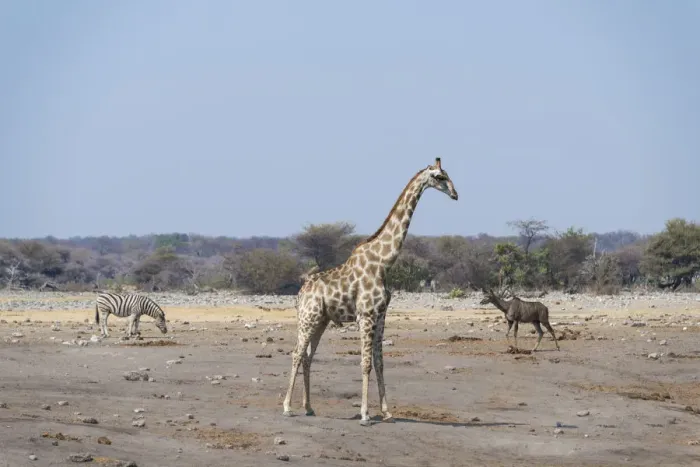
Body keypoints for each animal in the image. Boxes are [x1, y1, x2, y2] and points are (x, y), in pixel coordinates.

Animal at [282, 157, 459, 426]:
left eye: (448, 175)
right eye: (439, 177)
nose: (455, 194)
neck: (384, 262)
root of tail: (301, 292)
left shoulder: (381, 315)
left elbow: (379, 362)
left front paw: (387, 413)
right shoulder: (365, 315)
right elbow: (365, 363)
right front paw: (365, 415)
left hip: (321, 321)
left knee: (307, 356)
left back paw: (309, 407)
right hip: (307, 318)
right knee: (296, 353)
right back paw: (287, 407)